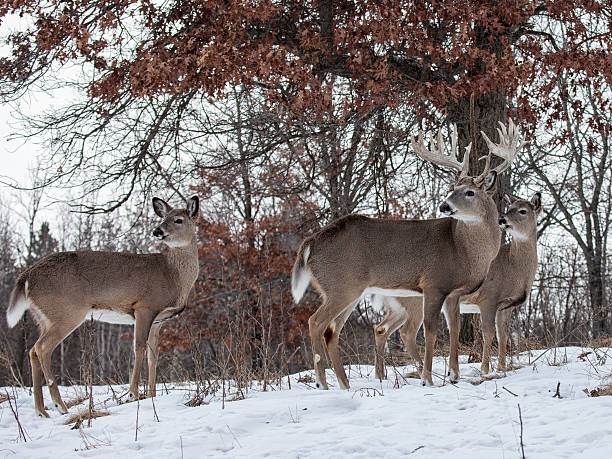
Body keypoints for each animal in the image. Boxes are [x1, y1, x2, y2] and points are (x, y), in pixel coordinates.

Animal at [5, 196, 201, 418]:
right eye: (163, 218)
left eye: (178, 220)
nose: (157, 231)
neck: (173, 275)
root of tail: (26, 277)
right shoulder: (144, 307)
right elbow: (139, 348)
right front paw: (133, 393)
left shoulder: (158, 320)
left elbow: (153, 355)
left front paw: (151, 395)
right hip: (66, 311)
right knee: (42, 348)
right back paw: (59, 405)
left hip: (43, 316)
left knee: (32, 351)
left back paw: (41, 411)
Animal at [372, 191, 540, 380]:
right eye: (509, 207)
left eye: (523, 211)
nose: (502, 219)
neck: (514, 268)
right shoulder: (489, 298)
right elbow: (488, 333)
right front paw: (485, 370)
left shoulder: (506, 306)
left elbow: (503, 335)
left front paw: (502, 369)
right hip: (414, 302)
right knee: (406, 332)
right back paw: (422, 371)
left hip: (399, 306)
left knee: (381, 329)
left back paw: (381, 375)